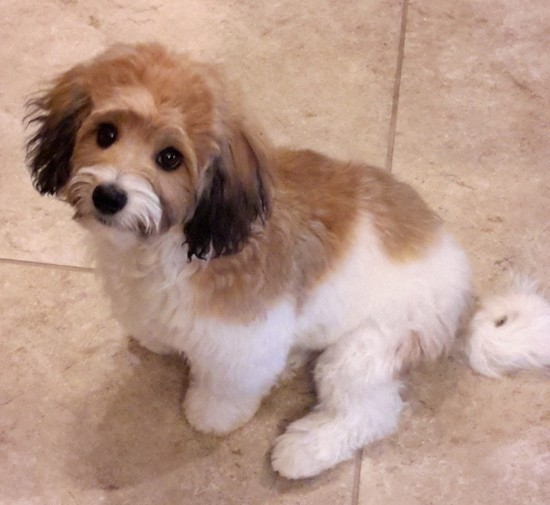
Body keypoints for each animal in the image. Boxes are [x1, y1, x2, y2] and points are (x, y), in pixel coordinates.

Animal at [23, 43, 548, 476]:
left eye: (169, 158)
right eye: (106, 134)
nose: (109, 196)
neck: (182, 238)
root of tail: (464, 298)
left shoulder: (242, 338)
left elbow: (228, 387)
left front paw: (211, 415)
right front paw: (155, 341)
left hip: (368, 347)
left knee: (369, 413)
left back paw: (304, 450)